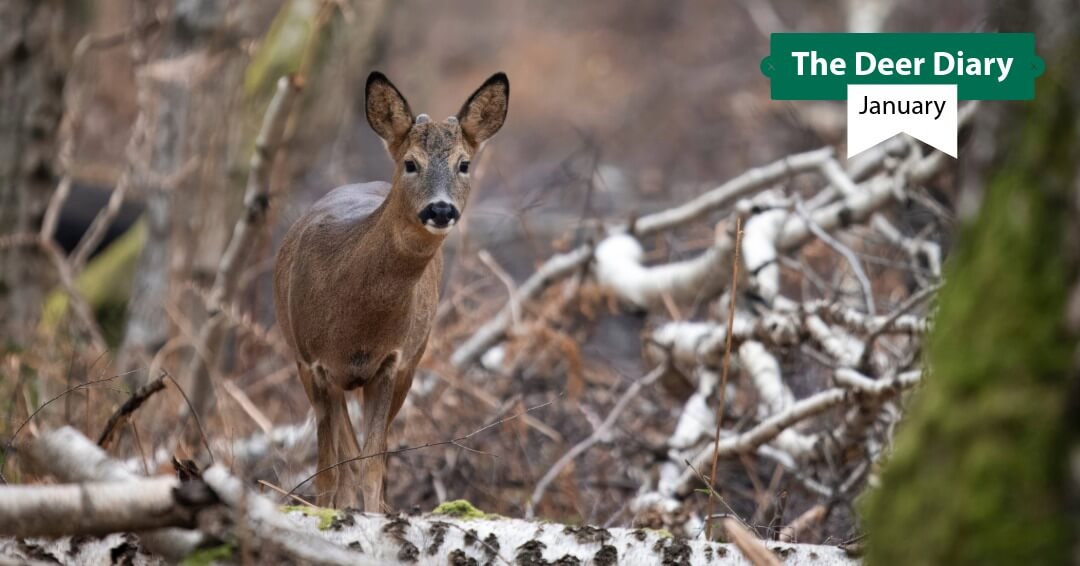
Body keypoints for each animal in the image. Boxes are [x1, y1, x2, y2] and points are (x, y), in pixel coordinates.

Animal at [273, 72, 509, 511]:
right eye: (411, 163)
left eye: (464, 164)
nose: (440, 209)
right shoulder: (313, 362)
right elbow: (332, 466)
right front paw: (332, 511)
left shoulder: (391, 361)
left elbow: (371, 463)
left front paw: (371, 514)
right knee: (338, 449)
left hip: (412, 361)